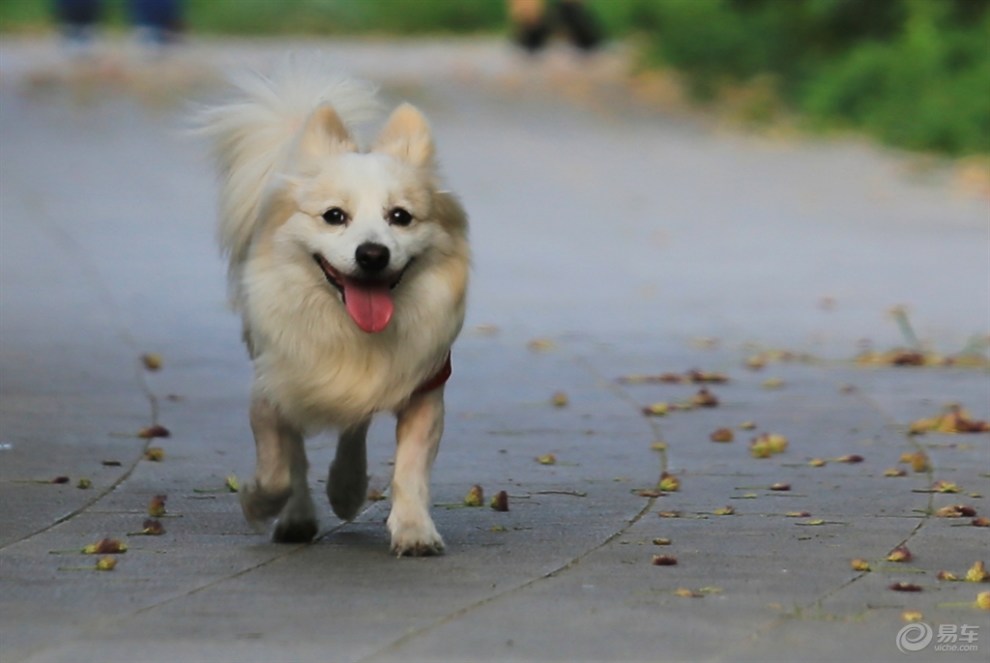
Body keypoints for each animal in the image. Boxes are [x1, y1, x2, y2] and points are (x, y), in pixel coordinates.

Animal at [200, 55, 470, 556]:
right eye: (333, 216)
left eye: (400, 217)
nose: (372, 254)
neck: (351, 329)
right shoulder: (274, 384)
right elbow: (280, 461)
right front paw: (262, 502)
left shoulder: (424, 389)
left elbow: (410, 469)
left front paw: (413, 529)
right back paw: (297, 515)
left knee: (354, 426)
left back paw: (346, 488)